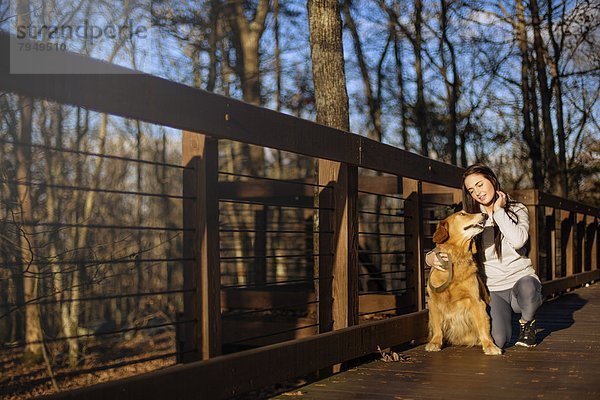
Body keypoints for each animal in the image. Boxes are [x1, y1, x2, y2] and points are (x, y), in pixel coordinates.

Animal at [424, 211, 504, 354]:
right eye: (462, 214)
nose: (484, 214)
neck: (456, 258)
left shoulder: (476, 301)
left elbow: (483, 325)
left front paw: (489, 345)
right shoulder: (433, 301)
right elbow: (437, 325)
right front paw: (435, 342)